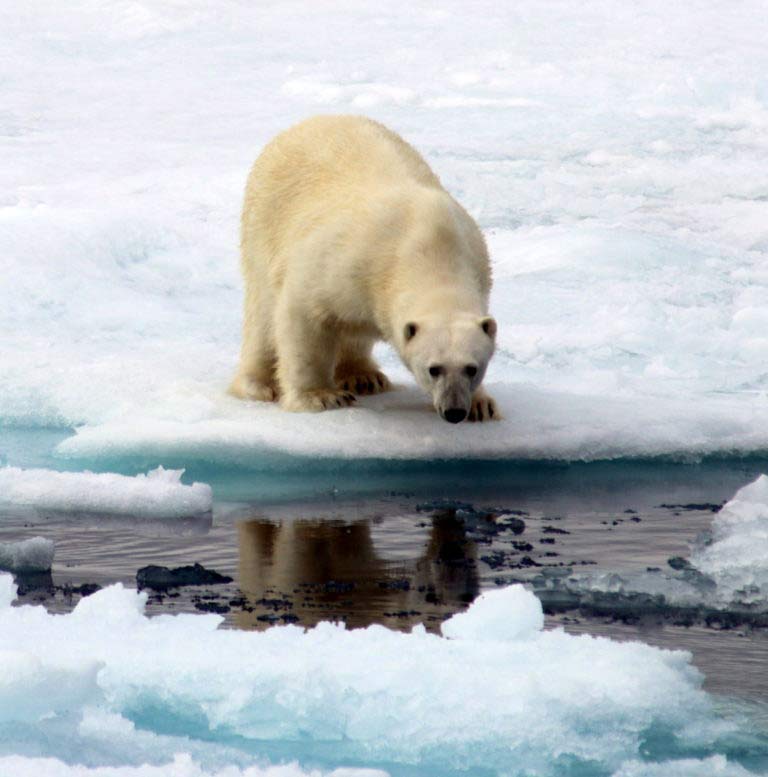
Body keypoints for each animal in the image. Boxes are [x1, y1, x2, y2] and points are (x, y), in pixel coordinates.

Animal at [231, 113, 500, 424]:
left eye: (473, 368)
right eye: (433, 369)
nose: (454, 411)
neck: (430, 248)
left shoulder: (477, 263)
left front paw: (481, 405)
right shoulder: (347, 259)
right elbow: (303, 313)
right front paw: (320, 396)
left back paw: (364, 377)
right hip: (265, 222)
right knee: (263, 313)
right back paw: (258, 384)